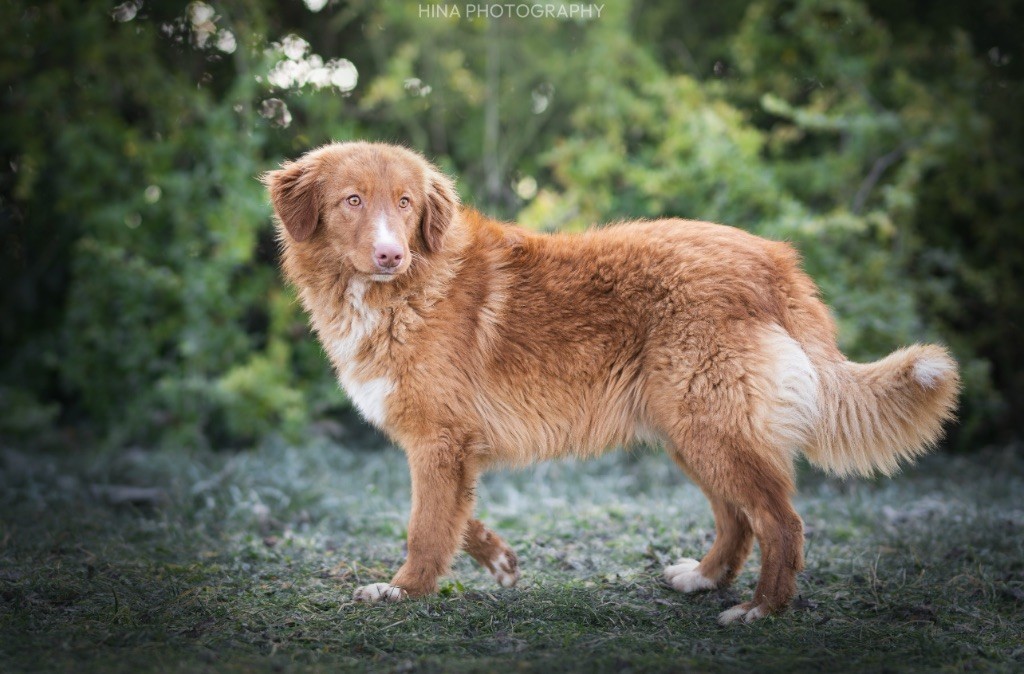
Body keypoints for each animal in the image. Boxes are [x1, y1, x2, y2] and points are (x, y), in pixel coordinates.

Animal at [264, 139, 958, 622]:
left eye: (405, 203)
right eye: (352, 200)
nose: (391, 253)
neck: (404, 290)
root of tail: (772, 259)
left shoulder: (440, 442)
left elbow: (425, 526)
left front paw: (404, 590)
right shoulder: (450, 450)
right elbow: (454, 518)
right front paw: (497, 560)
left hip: (710, 426)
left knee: (780, 521)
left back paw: (761, 608)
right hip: (690, 430)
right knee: (737, 520)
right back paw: (705, 579)